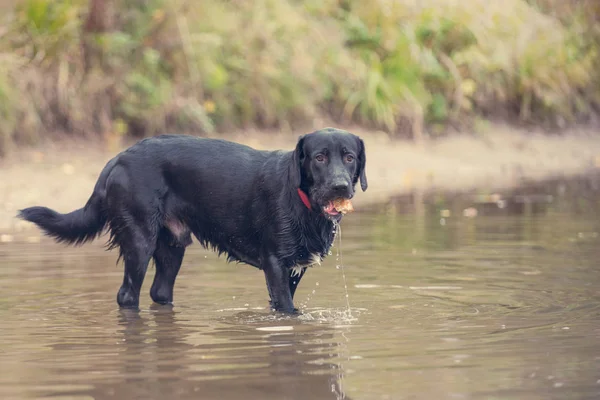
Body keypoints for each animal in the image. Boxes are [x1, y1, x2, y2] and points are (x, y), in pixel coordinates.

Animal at [17, 127, 366, 312]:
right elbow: (287, 310)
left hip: (172, 246)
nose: (340, 186)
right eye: (319, 158)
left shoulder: (294, 270)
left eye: (349, 158)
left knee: (160, 292)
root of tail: (119, 158)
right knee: (127, 294)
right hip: (139, 240)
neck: (304, 204)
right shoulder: (275, 264)